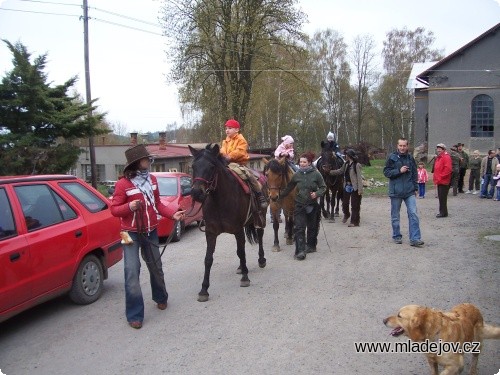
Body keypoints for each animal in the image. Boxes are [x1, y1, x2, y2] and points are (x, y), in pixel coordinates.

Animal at [188, 143, 268, 302]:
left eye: (211, 166)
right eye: (193, 166)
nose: (196, 193)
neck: (219, 200)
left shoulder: (238, 229)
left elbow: (241, 251)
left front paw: (245, 277)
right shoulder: (211, 233)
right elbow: (208, 259)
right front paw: (204, 290)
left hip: (260, 217)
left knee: (260, 236)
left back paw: (261, 260)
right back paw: (241, 267)